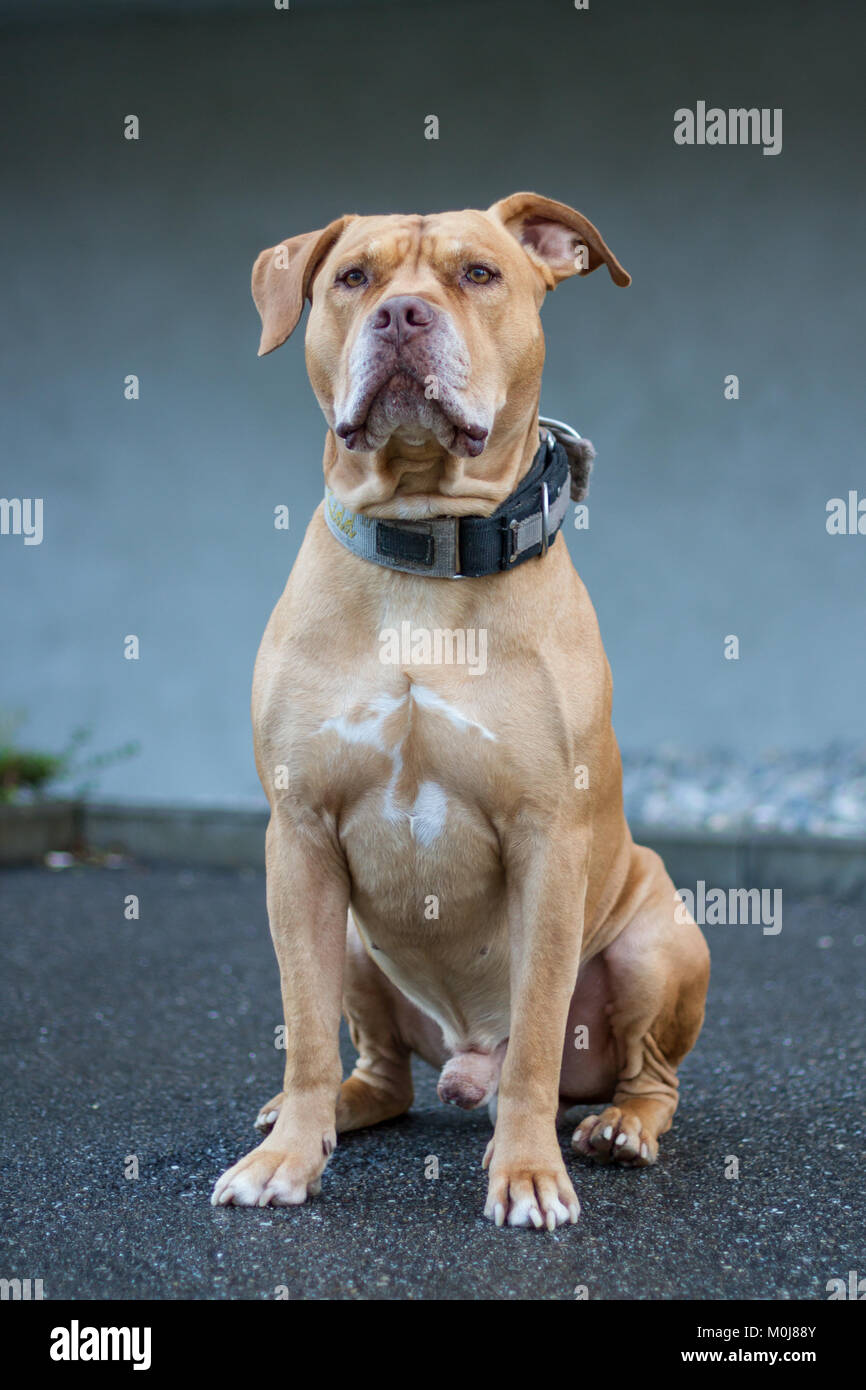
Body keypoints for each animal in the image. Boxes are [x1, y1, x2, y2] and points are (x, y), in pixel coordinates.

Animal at [211, 187, 711, 1228]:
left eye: (479, 273)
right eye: (352, 277)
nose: (402, 315)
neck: (426, 543)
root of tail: (462, 1058)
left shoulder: (548, 842)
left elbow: (538, 1034)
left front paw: (526, 1173)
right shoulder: (300, 838)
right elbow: (305, 1026)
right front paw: (285, 1160)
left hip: (660, 939)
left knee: (641, 1077)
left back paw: (617, 1129)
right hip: (353, 936)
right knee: (381, 1070)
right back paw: (326, 1112)